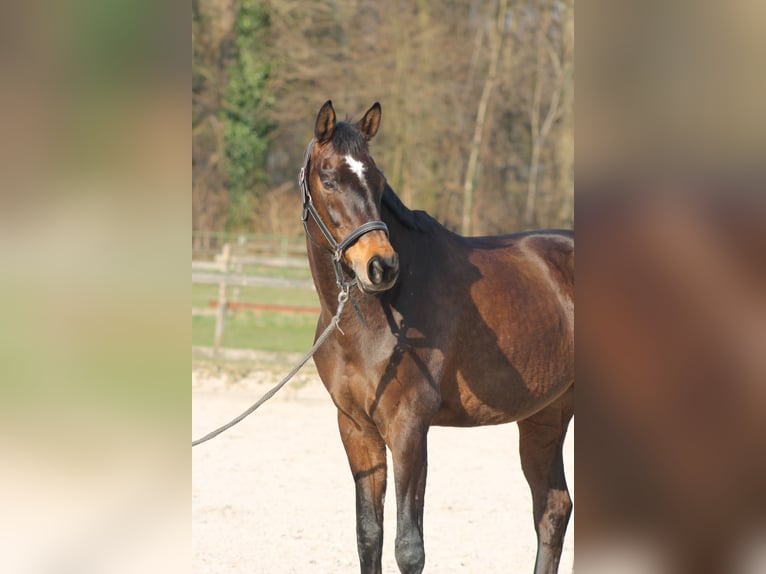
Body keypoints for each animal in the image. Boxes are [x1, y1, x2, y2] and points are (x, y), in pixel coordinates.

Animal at [304, 102, 572, 574]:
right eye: (329, 177)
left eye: (378, 180)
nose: (381, 265)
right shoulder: (356, 428)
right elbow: (368, 535)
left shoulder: (409, 427)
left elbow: (409, 548)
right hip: (546, 416)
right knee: (553, 508)